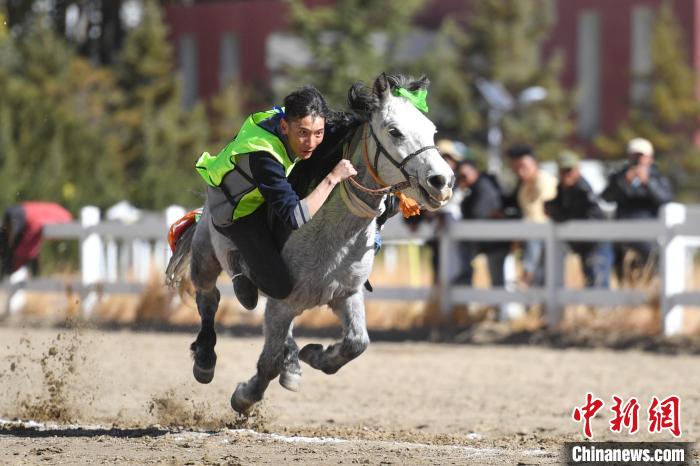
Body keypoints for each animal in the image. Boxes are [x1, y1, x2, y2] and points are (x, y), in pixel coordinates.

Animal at [167, 71, 456, 414]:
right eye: (394, 131)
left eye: (432, 131)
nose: (442, 181)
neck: (334, 234)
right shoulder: (283, 303)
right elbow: (267, 364)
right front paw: (244, 397)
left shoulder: (346, 293)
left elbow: (356, 343)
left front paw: (315, 355)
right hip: (206, 257)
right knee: (208, 299)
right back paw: (205, 358)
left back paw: (293, 361)